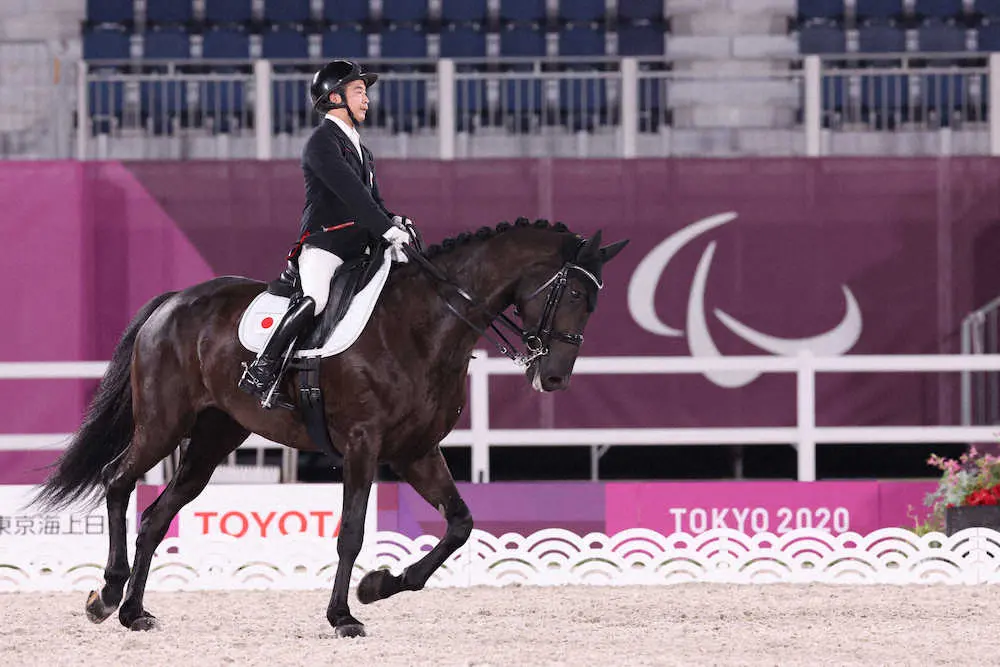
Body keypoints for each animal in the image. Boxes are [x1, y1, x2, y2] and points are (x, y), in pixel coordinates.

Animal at [33, 217, 628, 637]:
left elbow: (460, 523)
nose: (553, 377)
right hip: (162, 423)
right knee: (117, 481)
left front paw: (381, 586)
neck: (424, 326)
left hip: (212, 437)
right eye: (576, 294)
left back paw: (134, 611)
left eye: (593, 302)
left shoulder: (417, 450)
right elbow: (353, 530)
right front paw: (344, 615)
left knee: (157, 515)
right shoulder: (365, 444)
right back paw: (107, 595)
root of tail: (171, 303)